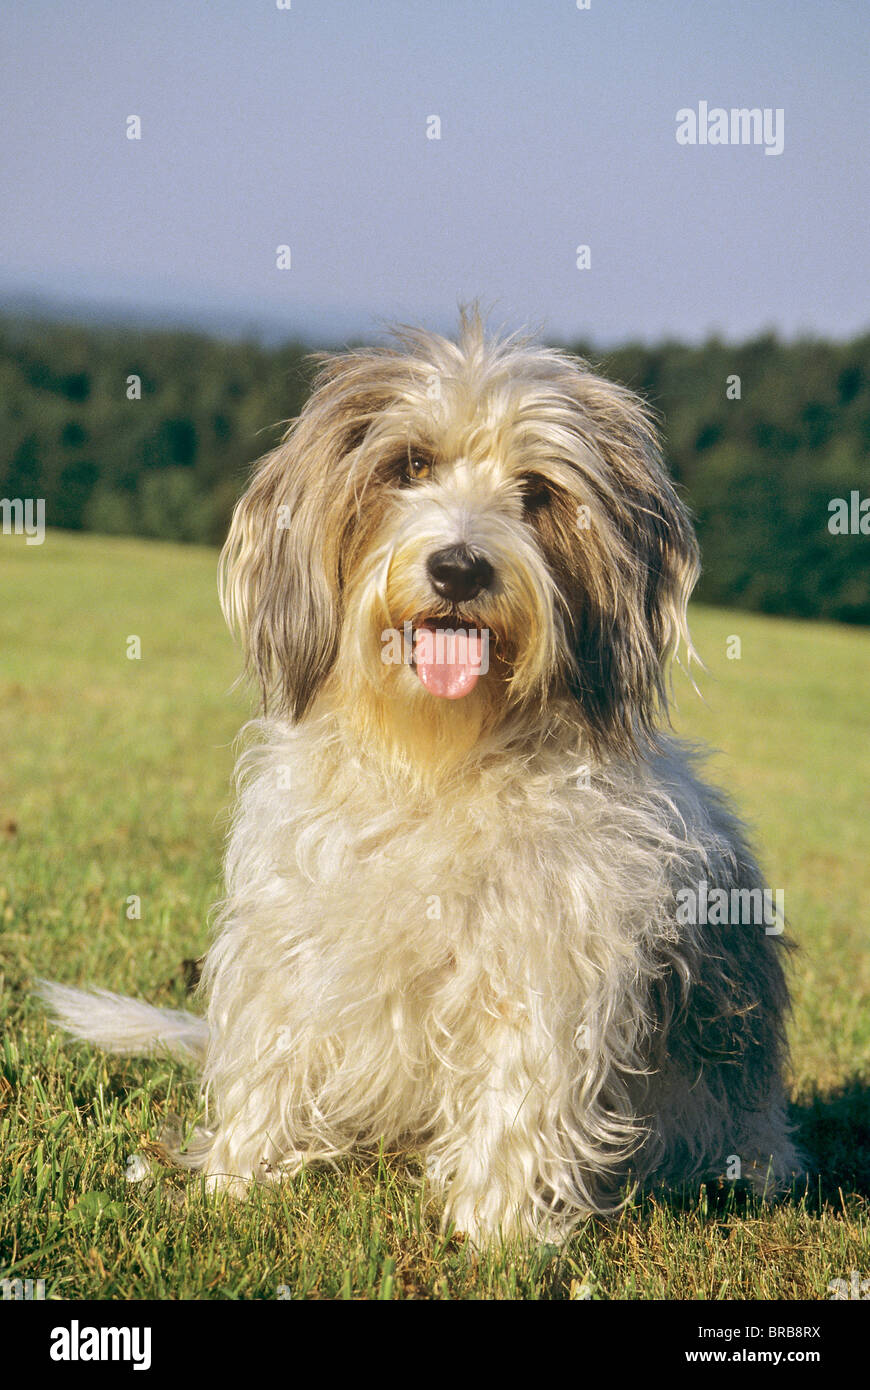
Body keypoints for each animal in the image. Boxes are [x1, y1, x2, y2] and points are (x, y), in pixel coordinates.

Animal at [42, 309, 800, 1245]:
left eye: (537, 491)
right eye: (410, 466)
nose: (461, 568)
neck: (438, 760)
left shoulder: (547, 964)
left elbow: (522, 1093)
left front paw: (499, 1233)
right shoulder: (293, 929)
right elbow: (271, 1050)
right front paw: (237, 1181)